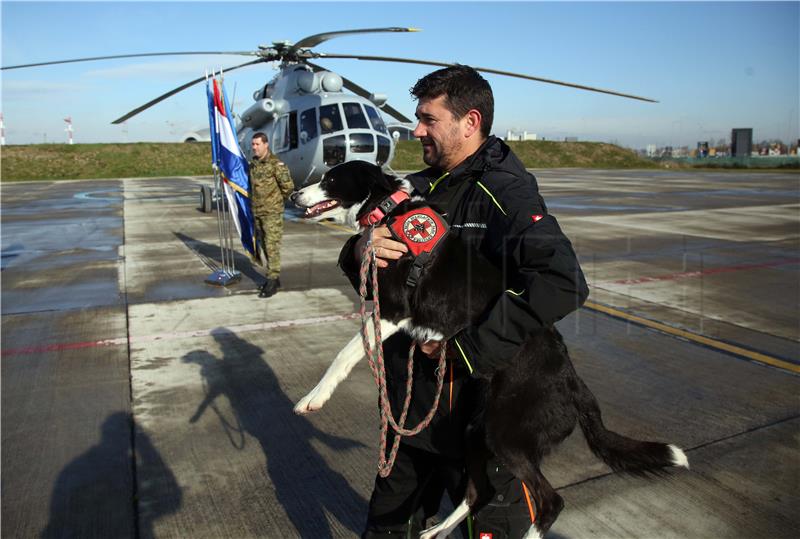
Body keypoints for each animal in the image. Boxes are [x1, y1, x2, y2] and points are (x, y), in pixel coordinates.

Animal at [294, 160, 688, 539]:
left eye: (330, 180)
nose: (295, 195)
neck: (388, 209)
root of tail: (574, 381)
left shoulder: (392, 310)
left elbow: (343, 354)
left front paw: (314, 397)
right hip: (476, 431)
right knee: (480, 491)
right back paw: (436, 530)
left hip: (505, 434)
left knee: (550, 501)